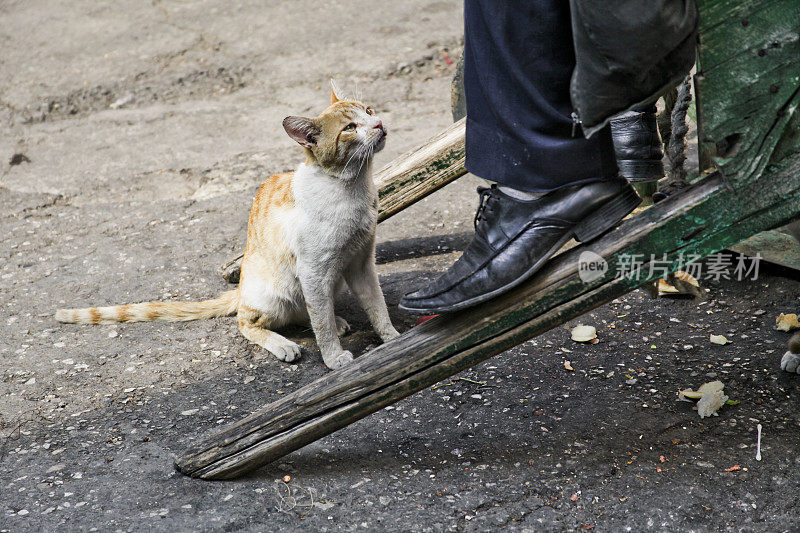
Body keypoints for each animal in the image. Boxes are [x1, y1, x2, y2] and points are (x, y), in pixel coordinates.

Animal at [56, 88, 400, 370]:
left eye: (368, 110)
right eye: (349, 128)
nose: (379, 123)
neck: (352, 189)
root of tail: (241, 288)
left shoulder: (361, 262)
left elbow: (376, 306)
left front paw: (393, 339)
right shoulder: (314, 271)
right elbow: (322, 324)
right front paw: (333, 358)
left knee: (306, 311)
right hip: (278, 293)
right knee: (249, 321)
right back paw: (283, 344)